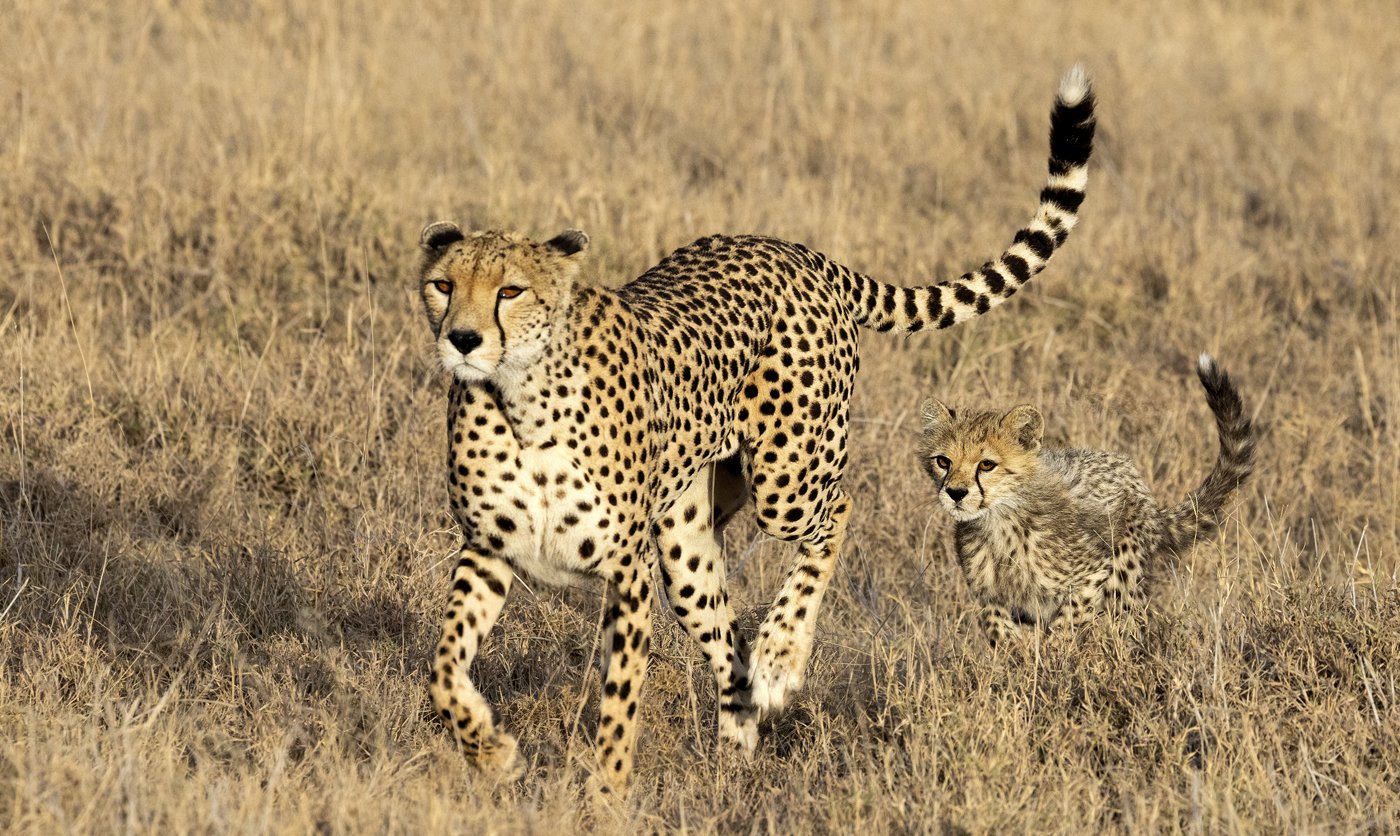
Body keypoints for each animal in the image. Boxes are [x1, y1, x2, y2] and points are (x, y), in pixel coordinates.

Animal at [420, 66, 1097, 789]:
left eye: (510, 290)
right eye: (442, 285)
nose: (462, 340)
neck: (522, 399)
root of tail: (791, 248)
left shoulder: (626, 569)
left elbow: (619, 700)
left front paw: (606, 792)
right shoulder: (490, 546)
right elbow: (444, 665)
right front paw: (489, 749)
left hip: (784, 483)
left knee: (837, 512)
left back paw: (780, 657)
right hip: (687, 540)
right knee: (727, 635)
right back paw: (736, 749)